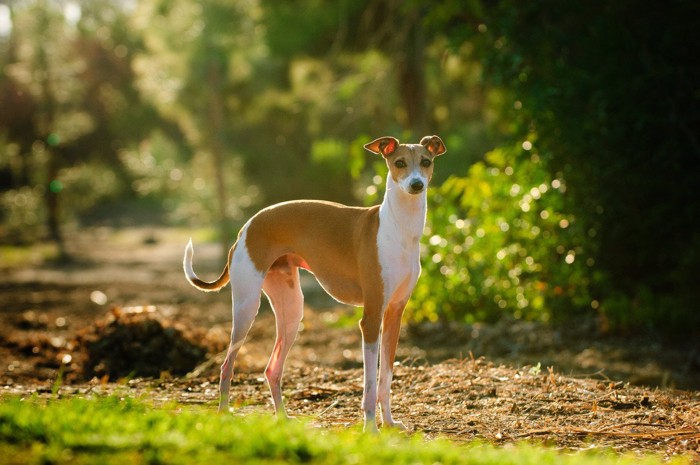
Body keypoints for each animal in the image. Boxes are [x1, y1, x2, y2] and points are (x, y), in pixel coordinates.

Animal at [185, 135, 448, 432]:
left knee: (272, 369)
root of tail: (246, 226)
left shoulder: (394, 315)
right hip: (246, 308)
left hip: (291, 311)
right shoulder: (370, 319)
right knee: (226, 366)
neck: (398, 228)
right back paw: (224, 414)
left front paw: (390, 422)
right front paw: (370, 427)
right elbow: (370, 383)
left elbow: (386, 379)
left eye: (426, 162)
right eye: (399, 163)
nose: (416, 185)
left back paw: (283, 418)